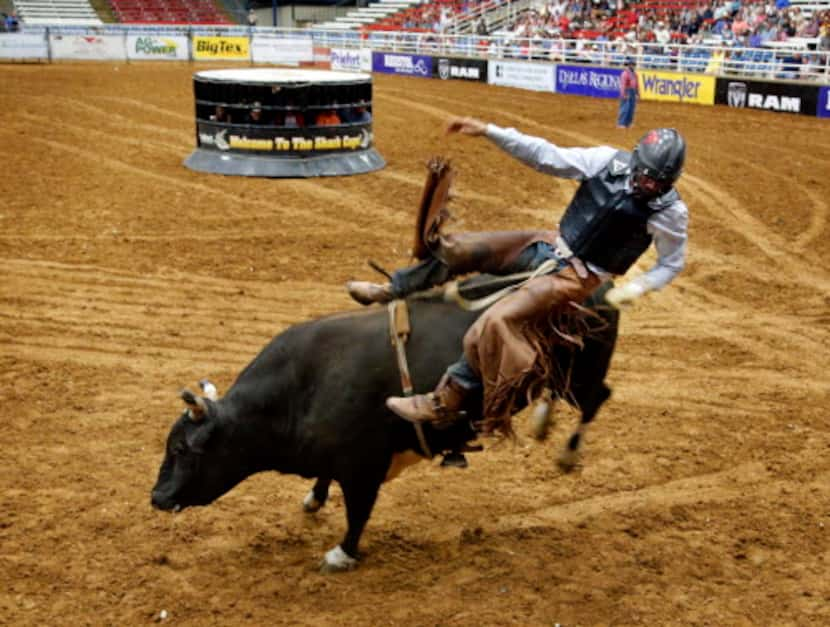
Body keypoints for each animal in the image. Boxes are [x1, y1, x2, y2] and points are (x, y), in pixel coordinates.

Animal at [150, 278, 620, 572]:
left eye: (182, 449)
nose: (157, 497)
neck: (301, 388)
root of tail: (598, 288)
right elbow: (325, 480)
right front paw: (314, 499)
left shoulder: (363, 467)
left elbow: (358, 513)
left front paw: (341, 555)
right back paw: (543, 422)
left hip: (583, 374)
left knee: (597, 399)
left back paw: (566, 452)